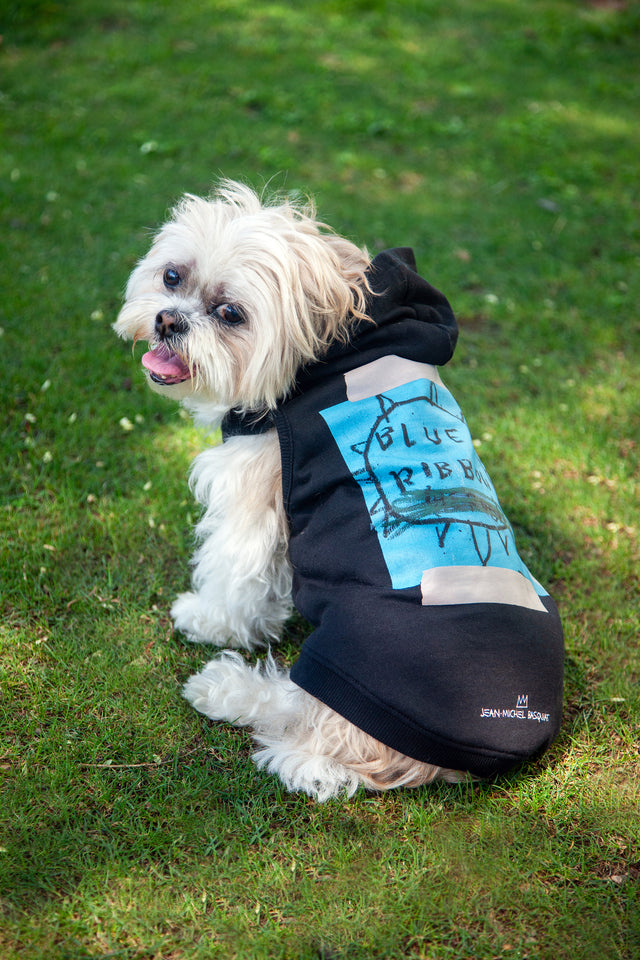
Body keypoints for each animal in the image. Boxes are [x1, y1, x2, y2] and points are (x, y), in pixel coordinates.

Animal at [112, 176, 564, 800]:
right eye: (173, 276)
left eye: (230, 313)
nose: (168, 320)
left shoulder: (252, 498)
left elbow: (233, 575)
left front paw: (209, 619)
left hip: (352, 659)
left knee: (303, 724)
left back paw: (225, 690)